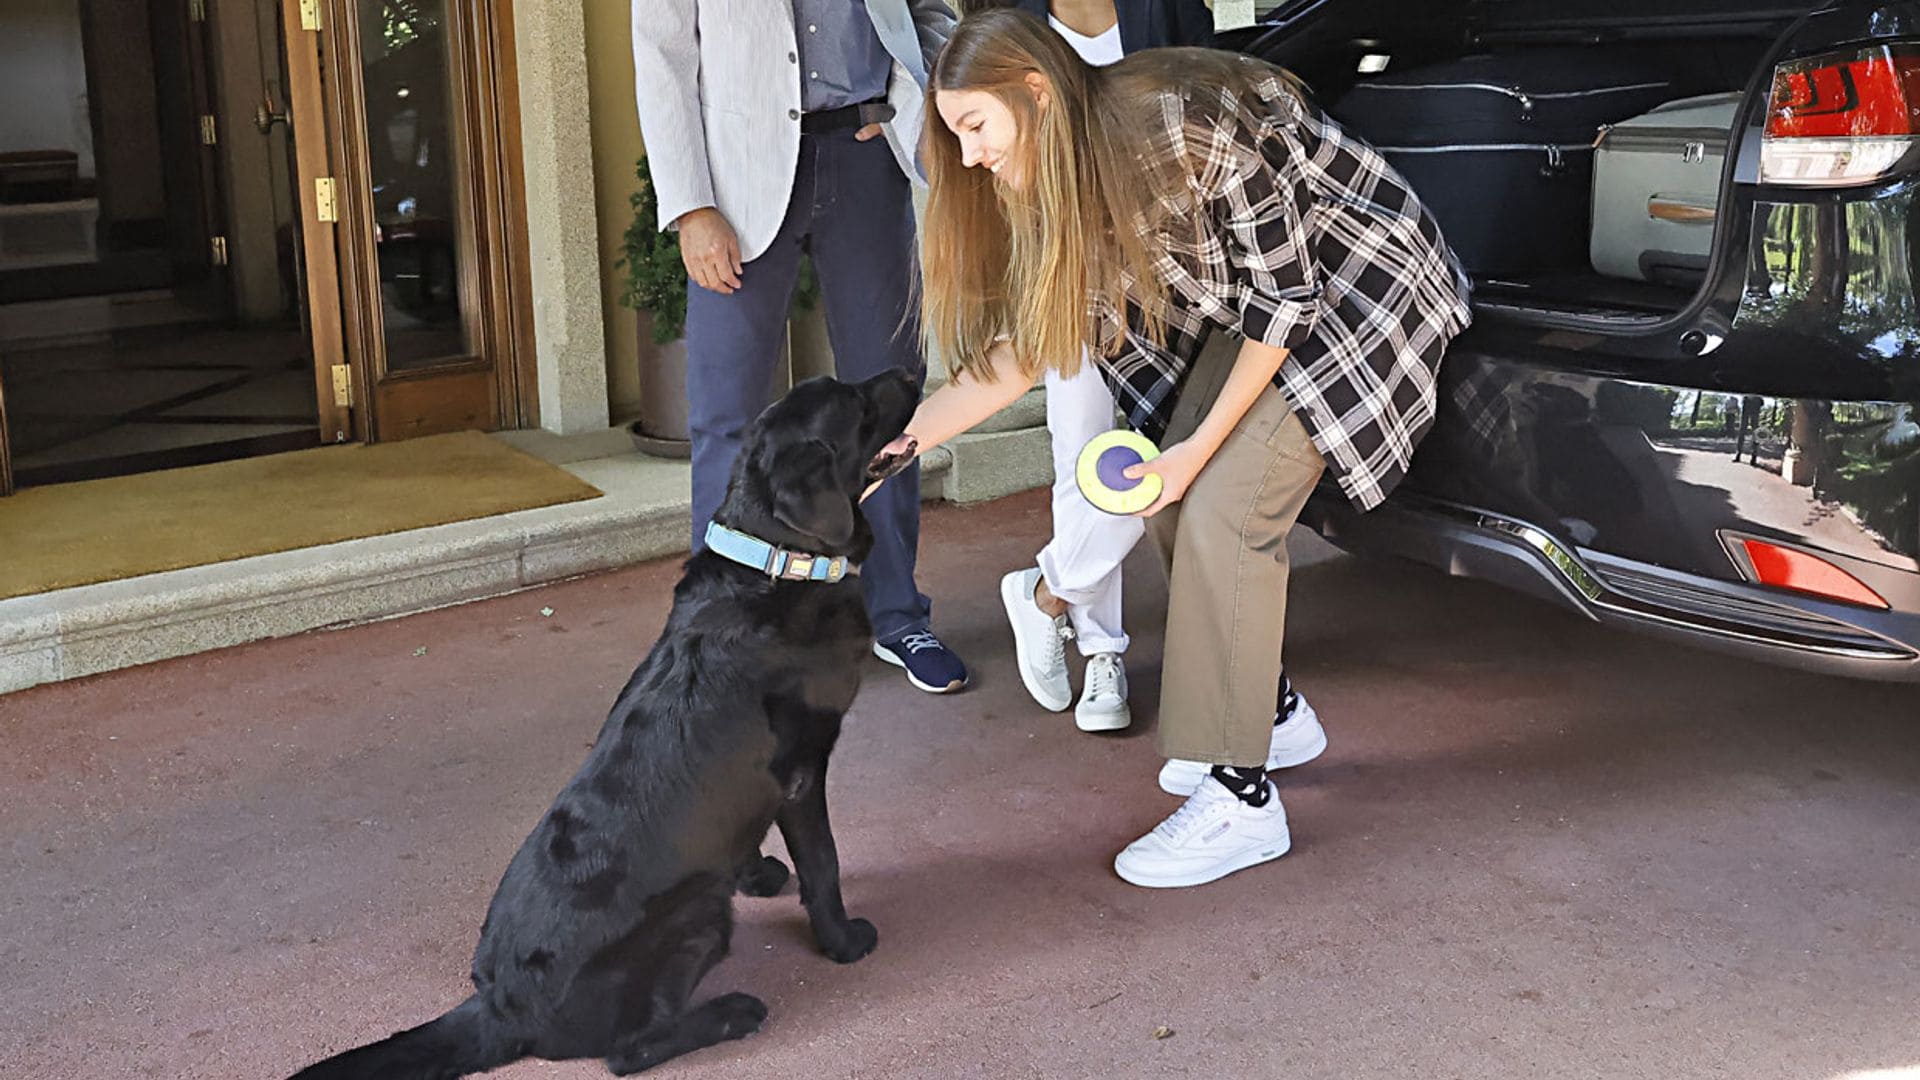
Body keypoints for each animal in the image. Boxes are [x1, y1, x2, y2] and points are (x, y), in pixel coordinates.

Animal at [291, 365, 929, 1068]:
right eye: (858, 405)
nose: (912, 368)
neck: (777, 563)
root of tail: (500, 1006)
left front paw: (756, 871)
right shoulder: (801, 773)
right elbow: (825, 864)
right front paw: (842, 940)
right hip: (697, 913)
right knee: (629, 1051)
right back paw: (731, 1013)